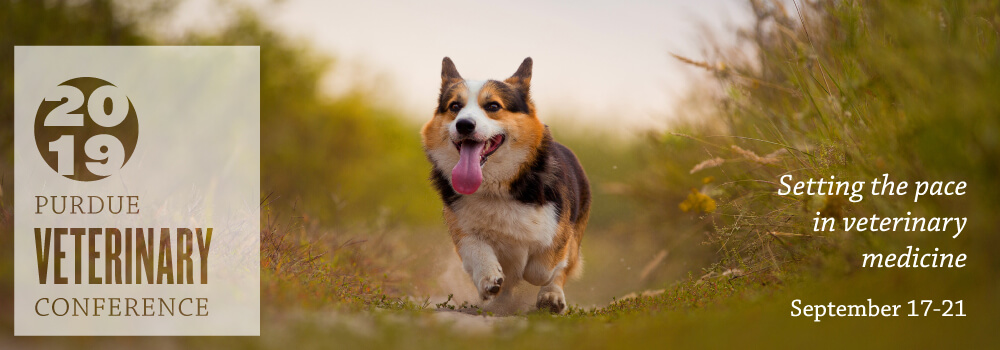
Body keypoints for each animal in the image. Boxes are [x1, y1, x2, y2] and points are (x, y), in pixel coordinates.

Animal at [420, 57, 588, 314]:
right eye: (454, 106)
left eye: (493, 106)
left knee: (560, 271)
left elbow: (542, 269)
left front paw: (537, 279)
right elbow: (478, 251)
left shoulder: (559, 229)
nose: (464, 125)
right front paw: (489, 280)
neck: (495, 189)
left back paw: (551, 296)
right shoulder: (463, 231)